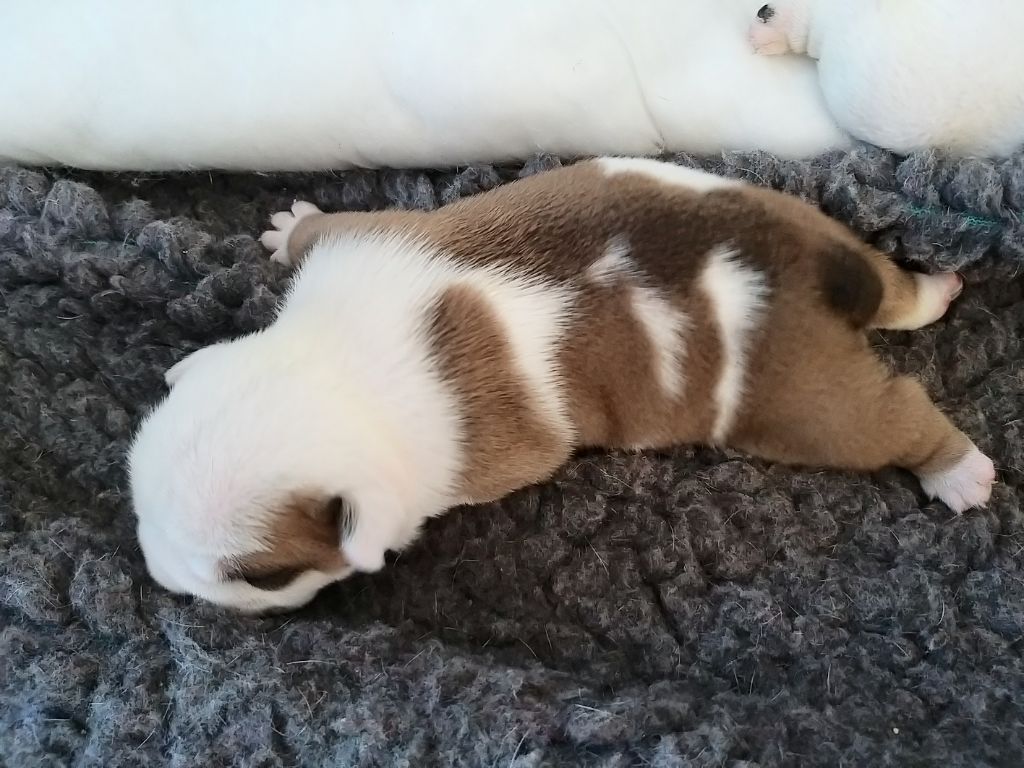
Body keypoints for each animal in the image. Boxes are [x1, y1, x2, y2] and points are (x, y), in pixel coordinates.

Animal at [128, 158, 995, 613]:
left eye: (260, 576)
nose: (157, 576)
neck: (340, 366)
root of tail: (801, 264)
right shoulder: (363, 236)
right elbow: (323, 227)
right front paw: (289, 229)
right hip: (812, 220)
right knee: (896, 288)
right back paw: (936, 286)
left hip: (803, 402)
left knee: (892, 415)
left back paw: (958, 470)